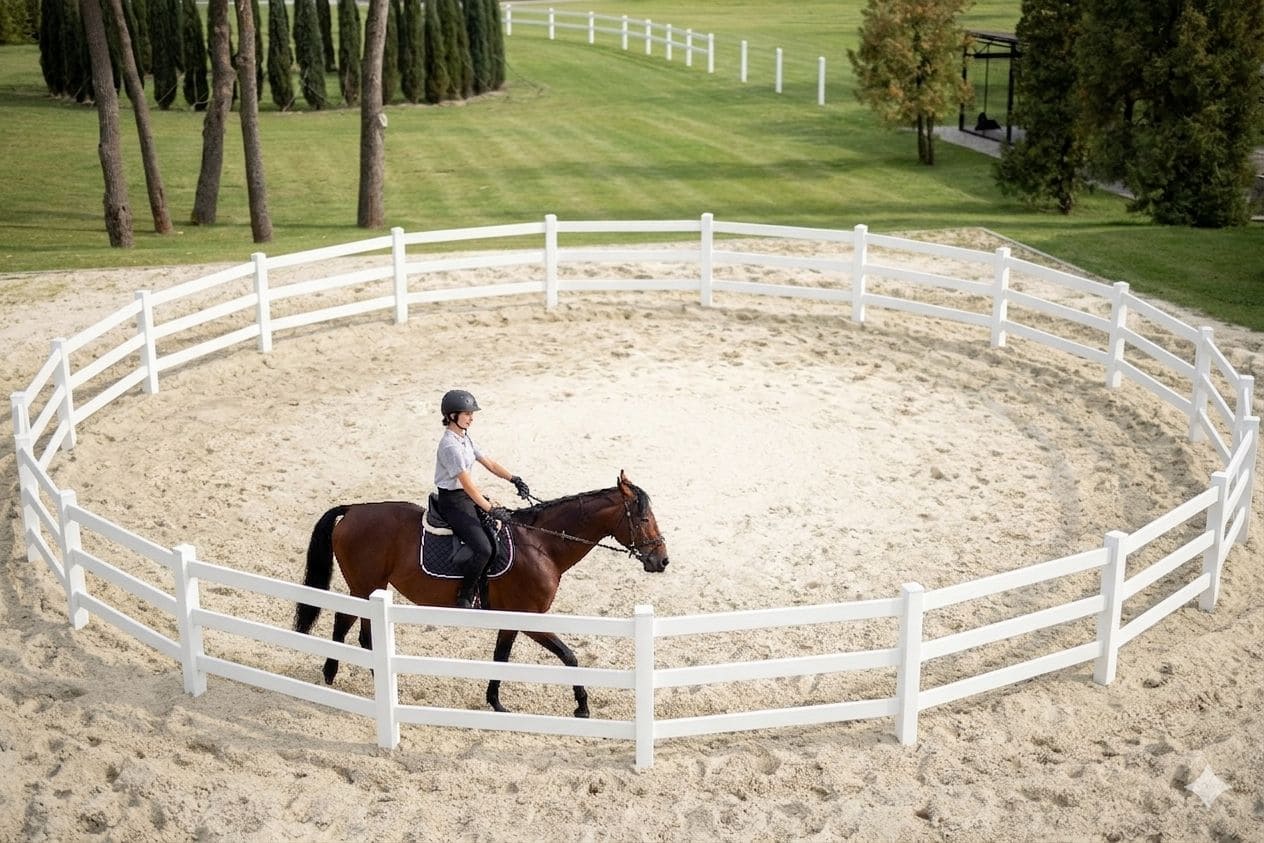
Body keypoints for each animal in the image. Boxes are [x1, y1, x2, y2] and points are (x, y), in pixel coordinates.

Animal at [292, 471, 669, 717]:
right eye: (644, 518)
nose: (662, 560)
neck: (542, 544)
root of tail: (354, 509)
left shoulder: (511, 619)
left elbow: (501, 657)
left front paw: (495, 702)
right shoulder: (531, 619)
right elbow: (570, 657)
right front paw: (582, 706)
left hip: (373, 588)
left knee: (359, 632)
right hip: (363, 587)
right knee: (345, 624)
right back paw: (338, 676)